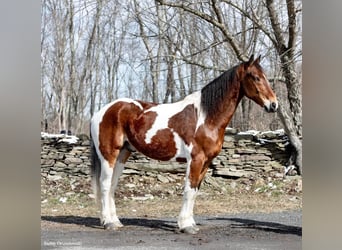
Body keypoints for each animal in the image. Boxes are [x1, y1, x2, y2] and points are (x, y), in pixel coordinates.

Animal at [89, 54, 278, 234]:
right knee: (105, 185)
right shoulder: (196, 159)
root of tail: (101, 111)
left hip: (123, 154)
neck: (205, 117)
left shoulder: (206, 162)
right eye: (255, 77)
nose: (273, 104)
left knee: (112, 185)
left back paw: (115, 221)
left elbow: (195, 191)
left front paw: (189, 222)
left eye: (265, 76)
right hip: (109, 155)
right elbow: (189, 189)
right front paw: (186, 226)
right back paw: (108, 223)